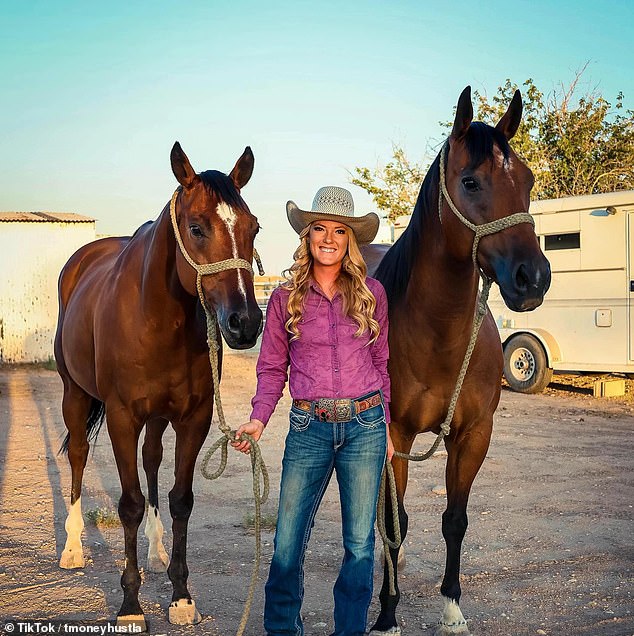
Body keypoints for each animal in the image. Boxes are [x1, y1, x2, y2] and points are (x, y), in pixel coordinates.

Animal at [53, 142, 262, 628]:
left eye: (254, 228)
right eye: (197, 228)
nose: (246, 323)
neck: (158, 319)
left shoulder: (193, 418)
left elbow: (180, 498)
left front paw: (181, 596)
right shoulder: (121, 417)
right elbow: (127, 504)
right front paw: (131, 605)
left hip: (156, 418)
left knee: (150, 462)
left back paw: (156, 549)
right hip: (75, 394)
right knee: (78, 455)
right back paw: (72, 548)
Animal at [362, 85, 552, 636]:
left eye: (528, 180)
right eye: (470, 181)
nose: (533, 277)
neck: (438, 341)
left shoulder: (472, 435)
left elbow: (455, 520)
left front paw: (450, 606)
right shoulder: (394, 436)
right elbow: (396, 520)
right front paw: (387, 613)